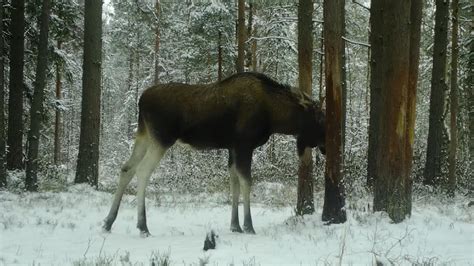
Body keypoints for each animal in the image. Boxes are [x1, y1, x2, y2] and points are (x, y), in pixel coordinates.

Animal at [103, 71, 326, 236]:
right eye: (319, 117)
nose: (325, 146)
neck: (274, 117)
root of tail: (140, 101)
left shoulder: (232, 148)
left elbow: (234, 183)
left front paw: (235, 225)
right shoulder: (244, 145)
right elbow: (246, 182)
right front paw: (248, 225)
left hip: (144, 135)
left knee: (126, 168)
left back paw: (108, 221)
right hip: (162, 139)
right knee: (142, 171)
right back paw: (143, 226)